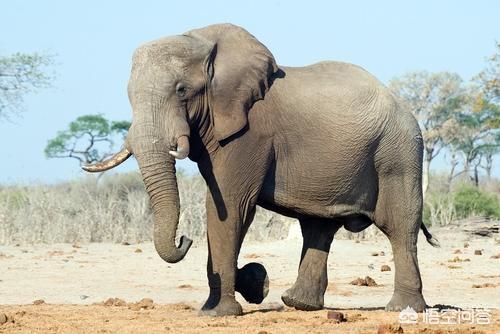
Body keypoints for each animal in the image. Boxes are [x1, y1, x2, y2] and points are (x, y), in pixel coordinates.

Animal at [84, 23, 440, 316]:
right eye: (129, 96)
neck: (204, 43)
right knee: (318, 227)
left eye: (182, 90)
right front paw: (252, 285)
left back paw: (402, 309)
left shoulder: (250, 135)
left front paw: (220, 311)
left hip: (398, 153)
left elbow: (229, 207)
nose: (185, 238)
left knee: (398, 227)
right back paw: (298, 303)